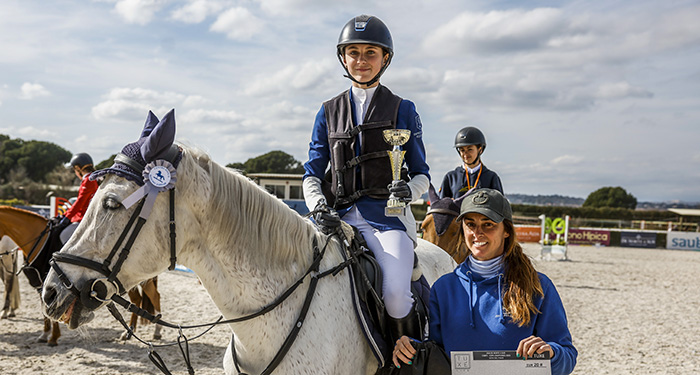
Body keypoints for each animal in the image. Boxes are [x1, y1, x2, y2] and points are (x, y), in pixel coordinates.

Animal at [0, 207, 163, 346]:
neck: (40, 240)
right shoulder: (42, 286)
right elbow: (46, 311)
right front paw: (45, 334)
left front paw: (53, 338)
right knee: (137, 300)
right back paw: (129, 331)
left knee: (155, 296)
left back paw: (157, 331)